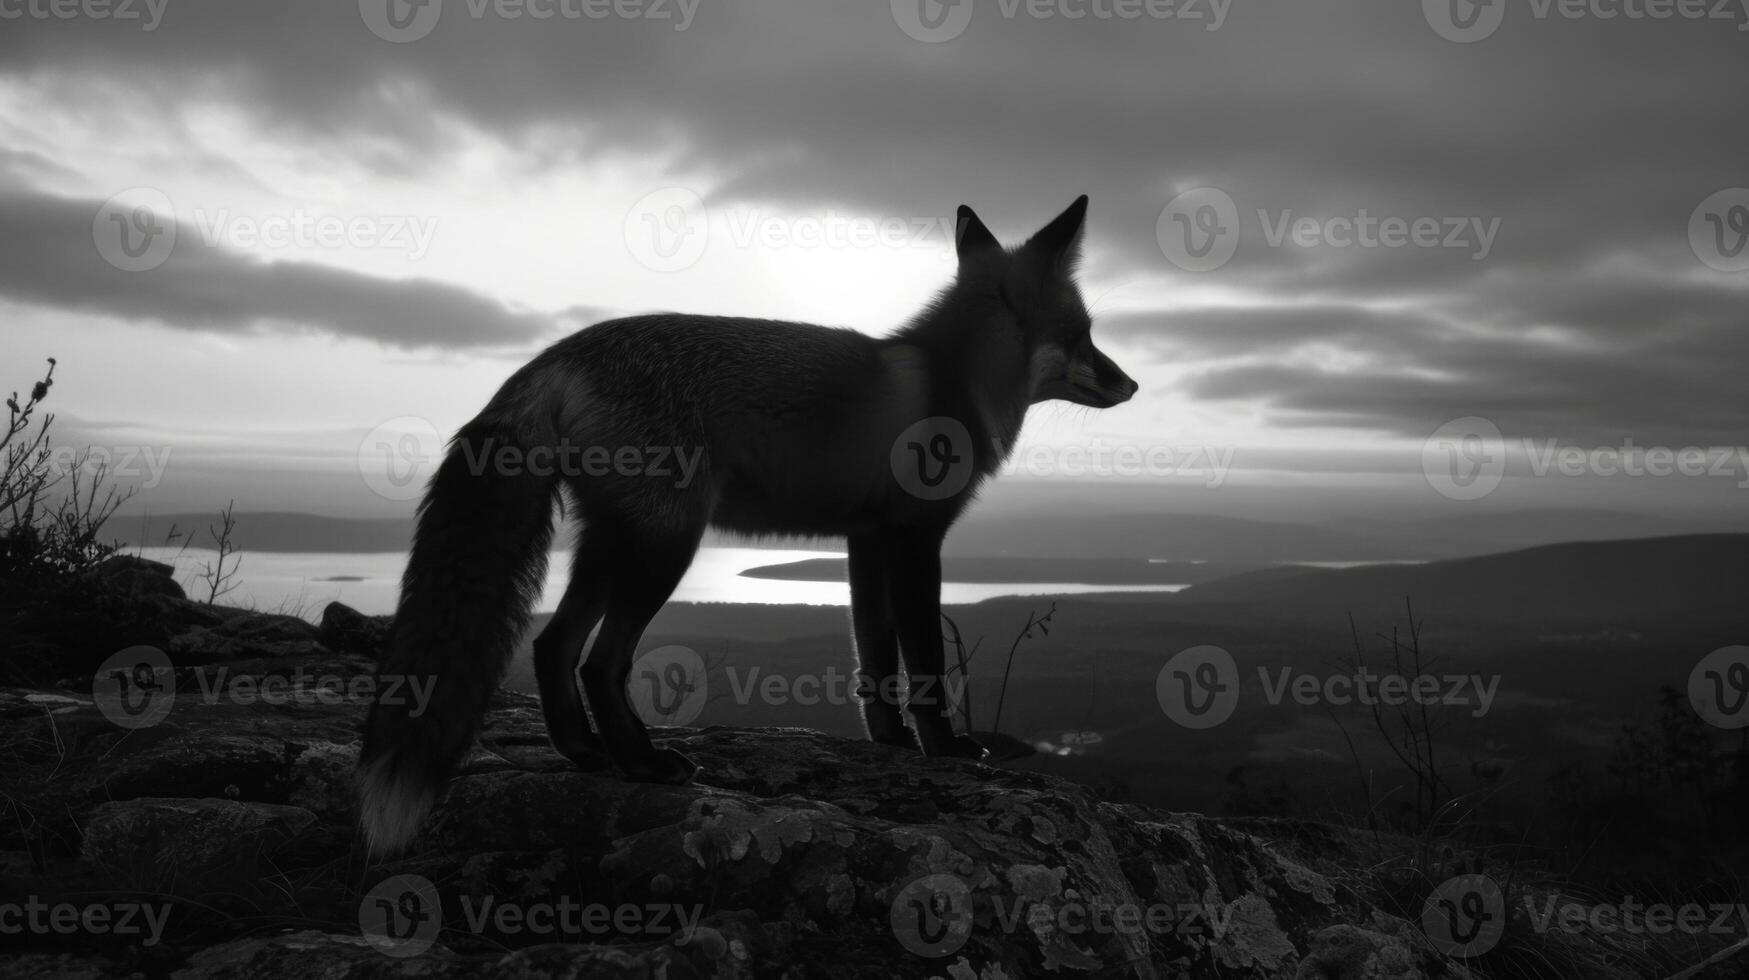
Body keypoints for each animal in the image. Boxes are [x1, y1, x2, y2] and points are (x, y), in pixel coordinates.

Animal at [362, 195, 1140, 854]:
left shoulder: (866, 539)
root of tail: (558, 354)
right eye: (1083, 335)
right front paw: (943, 749)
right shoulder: (916, 537)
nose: (1132, 385)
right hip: (667, 545)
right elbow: (921, 658)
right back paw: (643, 763)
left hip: (612, 542)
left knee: (554, 643)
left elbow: (874, 658)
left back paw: (585, 753)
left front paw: (889, 746)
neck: (950, 381)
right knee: (600, 660)